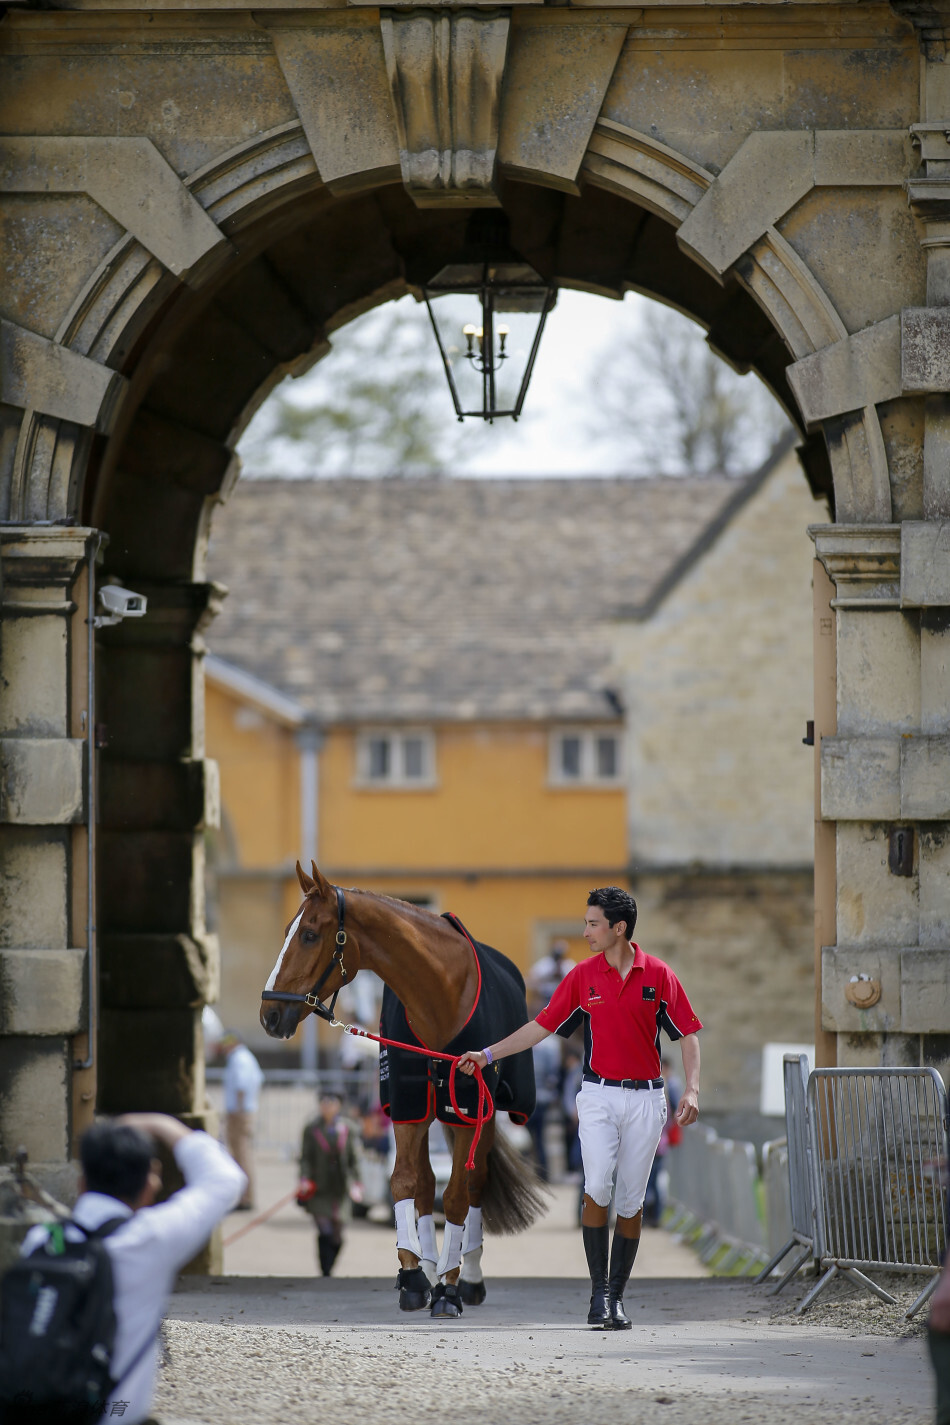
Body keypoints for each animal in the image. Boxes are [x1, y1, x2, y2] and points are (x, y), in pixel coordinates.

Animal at [260, 855, 546, 1311]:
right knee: (430, 1184)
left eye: (308, 934)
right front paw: (414, 1275)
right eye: (289, 929)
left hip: (478, 1113)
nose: (269, 1015)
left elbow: (457, 1195)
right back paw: (431, 1267)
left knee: (475, 1184)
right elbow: (407, 1183)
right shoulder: (408, 1106)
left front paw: (450, 1286)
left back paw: (467, 1274)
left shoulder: (468, 1110)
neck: (440, 994)